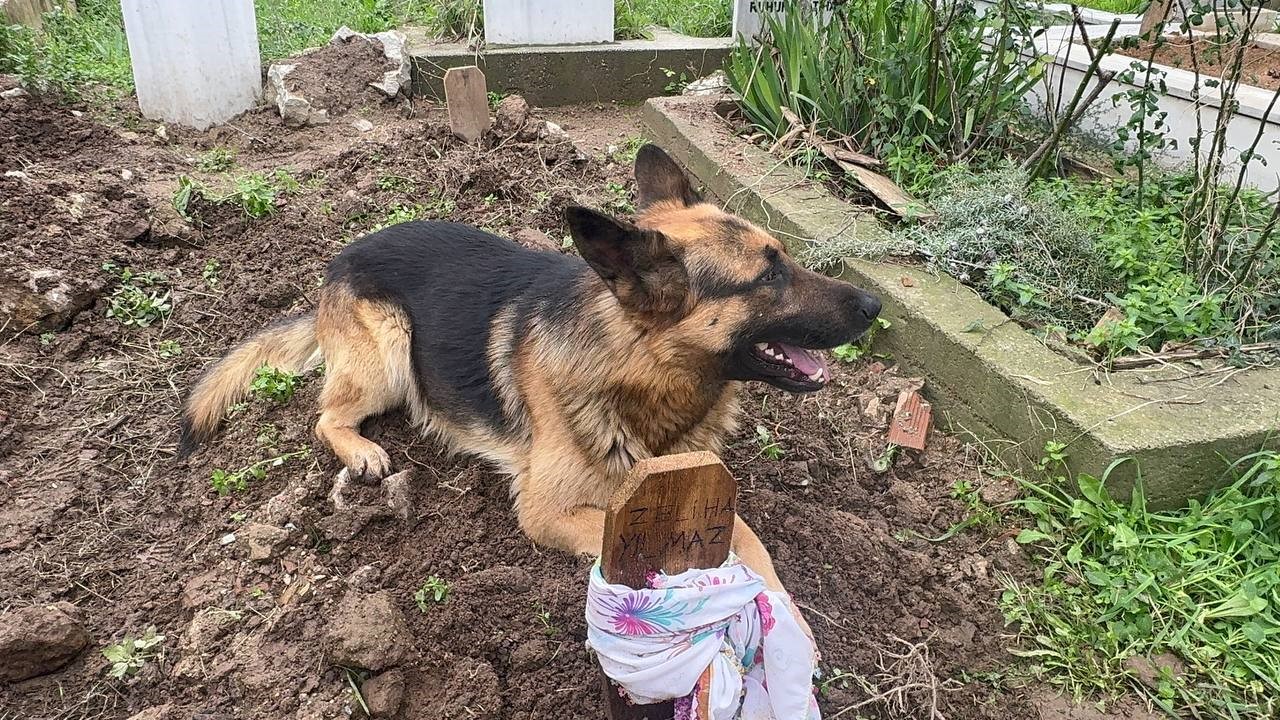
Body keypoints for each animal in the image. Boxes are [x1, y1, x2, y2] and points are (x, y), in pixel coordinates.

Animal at [180, 146, 880, 609]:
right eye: (768, 277)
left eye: (784, 258)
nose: (875, 305)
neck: (636, 367)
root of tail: (341, 258)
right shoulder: (545, 513)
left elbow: (749, 540)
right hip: (388, 353)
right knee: (326, 414)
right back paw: (362, 451)